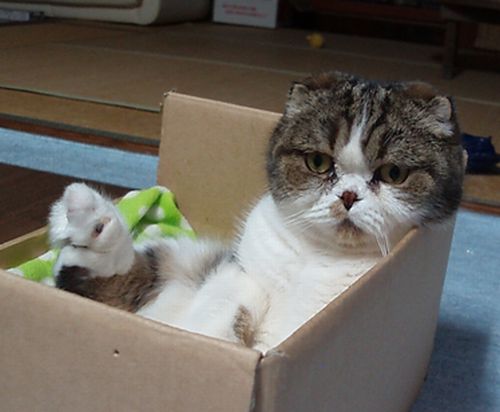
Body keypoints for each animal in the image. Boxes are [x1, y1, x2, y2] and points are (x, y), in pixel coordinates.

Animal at [49, 71, 465, 352]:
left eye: (393, 173)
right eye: (318, 162)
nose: (347, 196)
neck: (319, 257)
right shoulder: (238, 268)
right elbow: (239, 297)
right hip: (184, 261)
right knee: (108, 275)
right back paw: (90, 219)